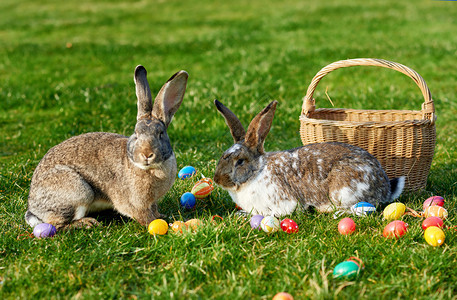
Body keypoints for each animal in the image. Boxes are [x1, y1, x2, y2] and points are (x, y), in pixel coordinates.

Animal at [24, 66, 189, 230]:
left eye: (161, 133)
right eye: (136, 133)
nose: (147, 154)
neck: (150, 168)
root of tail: (33, 207)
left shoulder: (152, 202)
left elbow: (154, 209)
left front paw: (162, 216)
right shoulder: (135, 204)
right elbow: (145, 216)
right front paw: (159, 223)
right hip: (79, 191)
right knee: (57, 225)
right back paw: (87, 223)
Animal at [212, 99, 404, 217]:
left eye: (240, 161)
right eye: (223, 156)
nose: (217, 179)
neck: (257, 171)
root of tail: (385, 187)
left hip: (345, 191)